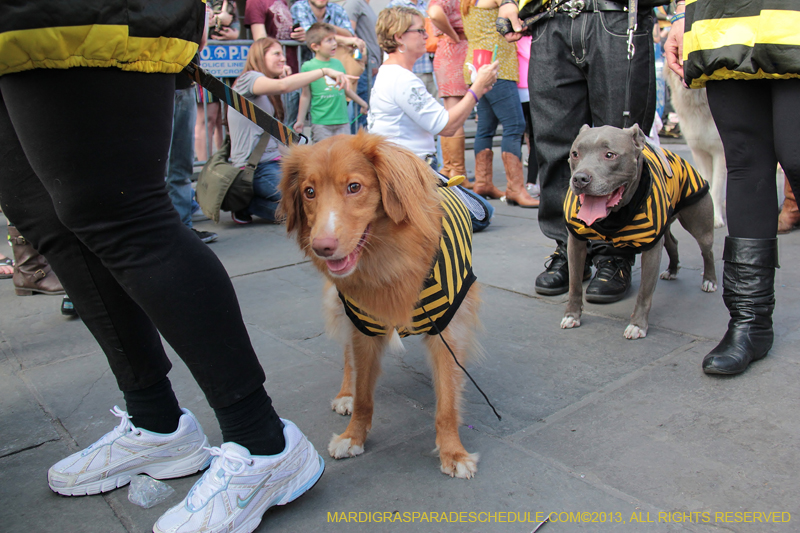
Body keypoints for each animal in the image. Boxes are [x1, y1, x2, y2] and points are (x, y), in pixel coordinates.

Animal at [280, 132, 482, 478]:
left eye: (354, 187)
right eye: (309, 192)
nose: (322, 247)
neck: (388, 259)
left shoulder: (448, 328)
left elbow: (447, 402)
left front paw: (453, 453)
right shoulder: (364, 328)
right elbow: (363, 394)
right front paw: (353, 436)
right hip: (340, 306)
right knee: (347, 359)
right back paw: (344, 394)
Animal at [560, 124, 716, 338]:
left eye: (610, 155)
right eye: (575, 154)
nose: (580, 179)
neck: (614, 214)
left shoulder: (651, 249)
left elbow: (644, 293)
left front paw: (638, 325)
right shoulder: (576, 242)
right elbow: (574, 284)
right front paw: (572, 315)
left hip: (700, 226)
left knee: (707, 251)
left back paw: (709, 280)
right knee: (673, 243)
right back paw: (672, 270)